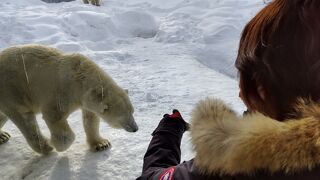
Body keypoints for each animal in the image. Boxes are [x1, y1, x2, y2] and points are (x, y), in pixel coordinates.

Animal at [0, 44, 138, 154]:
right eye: (123, 115)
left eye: (132, 111)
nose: (135, 128)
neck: (79, 79)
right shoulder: (61, 94)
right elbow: (54, 117)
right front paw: (57, 145)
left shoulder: (85, 99)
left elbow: (91, 119)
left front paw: (101, 144)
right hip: (12, 90)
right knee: (25, 119)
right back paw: (45, 146)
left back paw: (3, 136)